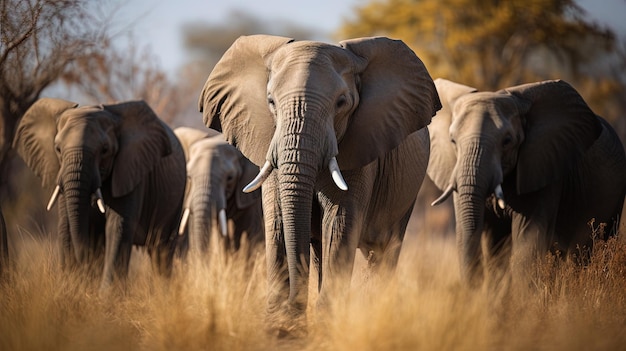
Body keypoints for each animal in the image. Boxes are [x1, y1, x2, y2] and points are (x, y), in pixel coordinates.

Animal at [12, 97, 185, 290]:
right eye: (57, 149)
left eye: (105, 150)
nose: (83, 262)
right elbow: (66, 225)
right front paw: (70, 290)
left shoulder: (130, 170)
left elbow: (117, 226)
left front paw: (106, 296)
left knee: (161, 249)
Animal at [200, 34, 438, 334]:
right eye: (270, 102)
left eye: (341, 103)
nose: (295, 306)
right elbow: (279, 221)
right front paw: (280, 327)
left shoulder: (361, 147)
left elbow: (338, 221)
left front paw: (323, 326)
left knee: (383, 252)